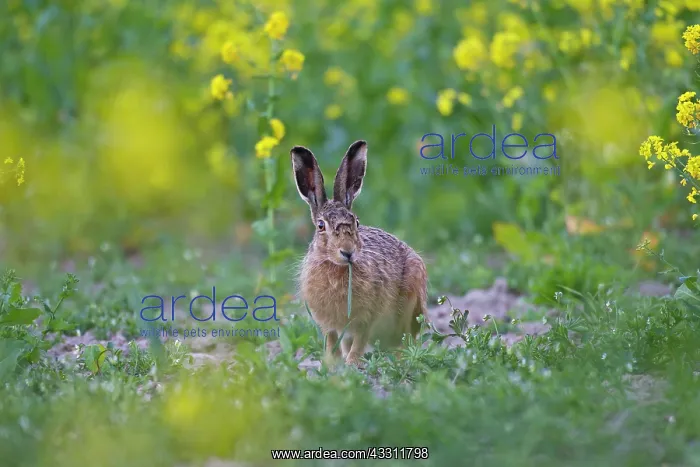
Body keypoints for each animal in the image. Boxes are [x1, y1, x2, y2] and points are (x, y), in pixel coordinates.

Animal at [290, 140, 428, 366]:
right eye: (321, 226)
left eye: (356, 221)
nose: (348, 252)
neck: (336, 267)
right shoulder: (327, 322)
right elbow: (331, 339)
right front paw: (331, 363)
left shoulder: (367, 317)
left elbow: (360, 339)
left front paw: (352, 364)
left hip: (411, 302)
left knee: (404, 338)